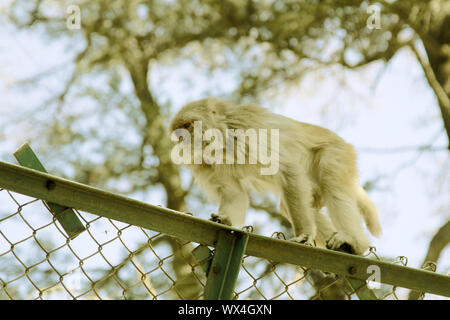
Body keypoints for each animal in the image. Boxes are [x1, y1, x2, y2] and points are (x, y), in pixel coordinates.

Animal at [169, 97, 380, 255]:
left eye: (187, 126)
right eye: (179, 132)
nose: (182, 141)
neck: (222, 138)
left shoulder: (247, 130)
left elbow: (288, 170)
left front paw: (304, 234)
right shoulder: (205, 164)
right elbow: (233, 192)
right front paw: (225, 221)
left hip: (337, 152)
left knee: (331, 183)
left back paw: (355, 242)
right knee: (292, 204)